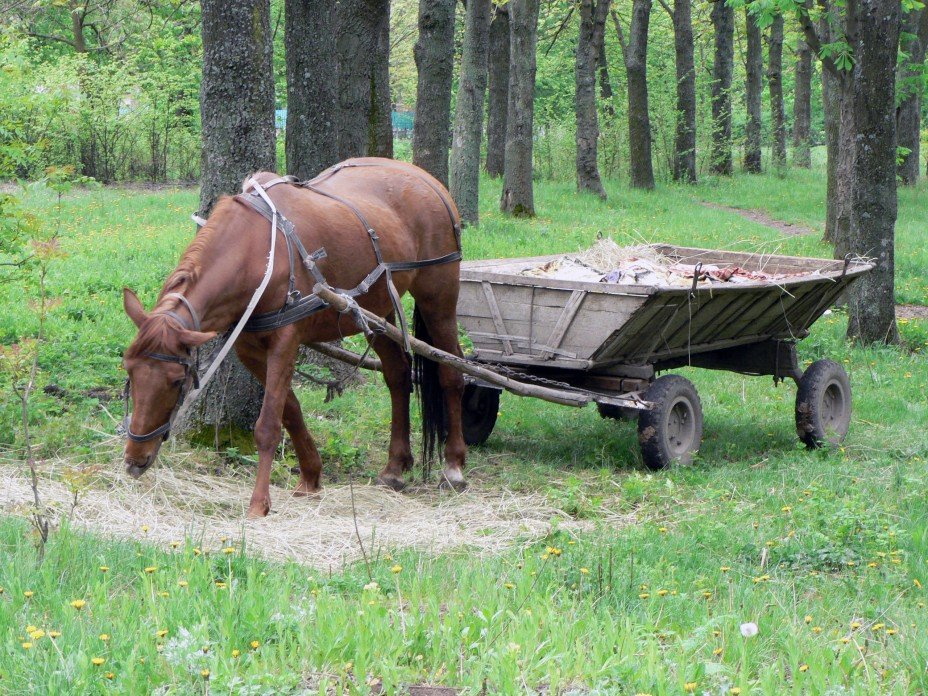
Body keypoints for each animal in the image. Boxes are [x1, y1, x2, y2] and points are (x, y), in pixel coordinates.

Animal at [122, 158, 468, 516]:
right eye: (129, 371)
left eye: (177, 380)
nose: (134, 459)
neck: (258, 251)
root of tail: (427, 179)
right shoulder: (249, 348)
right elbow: (290, 411)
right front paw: (311, 476)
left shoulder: (285, 341)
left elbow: (268, 424)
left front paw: (259, 503)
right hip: (382, 307)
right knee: (398, 376)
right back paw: (395, 467)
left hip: (438, 295)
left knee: (452, 371)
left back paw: (453, 466)